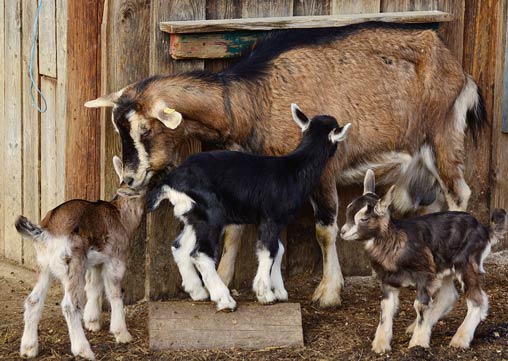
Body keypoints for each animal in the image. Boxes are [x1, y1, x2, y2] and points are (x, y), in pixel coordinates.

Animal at [15, 157, 143, 358]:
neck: (121, 216)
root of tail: (46, 233)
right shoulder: (116, 258)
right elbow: (114, 292)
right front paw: (122, 333)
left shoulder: (95, 262)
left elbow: (94, 286)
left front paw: (92, 322)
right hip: (72, 264)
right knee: (70, 305)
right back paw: (83, 350)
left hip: (43, 266)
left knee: (33, 300)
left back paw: (29, 348)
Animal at [148, 104, 350, 310]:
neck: (294, 169)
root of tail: (171, 182)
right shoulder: (271, 218)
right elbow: (269, 250)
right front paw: (265, 294)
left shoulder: (269, 220)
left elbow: (279, 249)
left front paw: (279, 291)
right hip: (211, 215)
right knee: (200, 253)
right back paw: (224, 299)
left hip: (193, 216)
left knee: (180, 247)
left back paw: (197, 291)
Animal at [340, 169, 506, 352]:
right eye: (348, 212)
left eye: (363, 219)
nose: (342, 232)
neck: (395, 241)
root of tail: (485, 230)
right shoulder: (388, 280)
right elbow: (386, 308)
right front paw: (380, 344)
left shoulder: (424, 276)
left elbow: (419, 306)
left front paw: (418, 343)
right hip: (443, 267)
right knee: (448, 296)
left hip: (467, 263)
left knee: (477, 299)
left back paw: (460, 339)